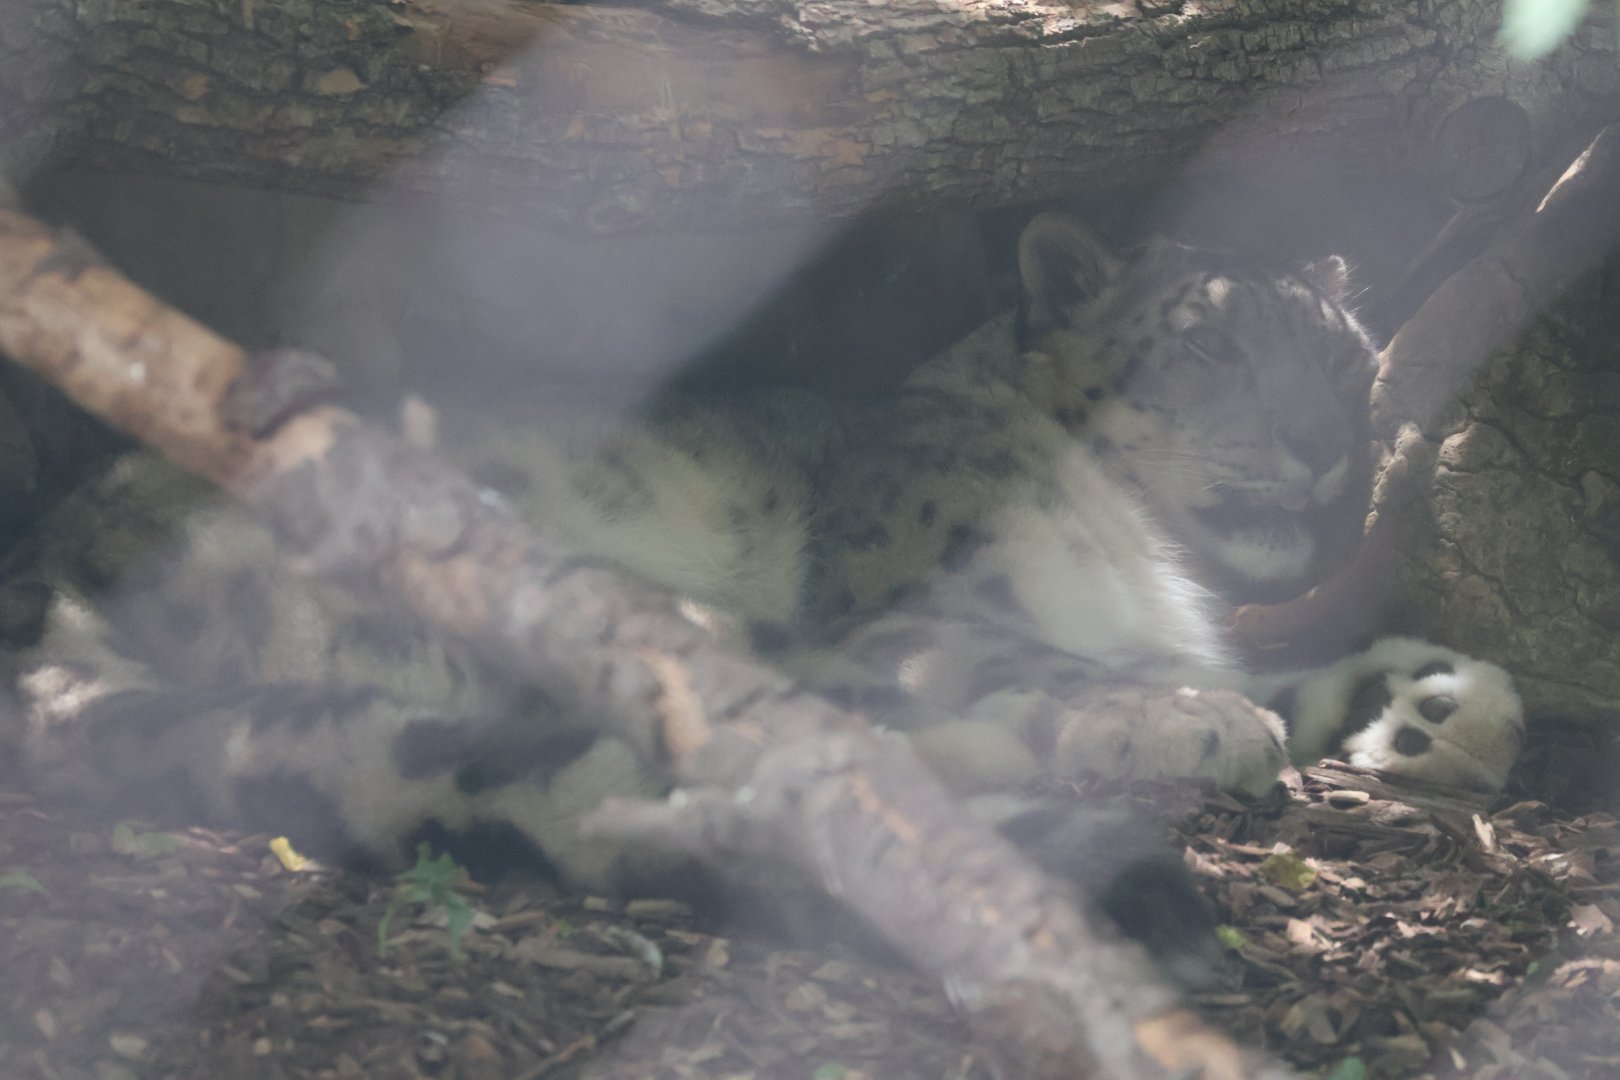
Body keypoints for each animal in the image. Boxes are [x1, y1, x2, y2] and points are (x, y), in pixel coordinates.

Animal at [2, 212, 1524, 937]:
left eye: (1336, 356)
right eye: (1204, 347)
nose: (1322, 445)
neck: (1148, 556)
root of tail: (63, 570)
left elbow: (1285, 661)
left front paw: (1445, 710)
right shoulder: (921, 609)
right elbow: (1037, 655)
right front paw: (1205, 716)